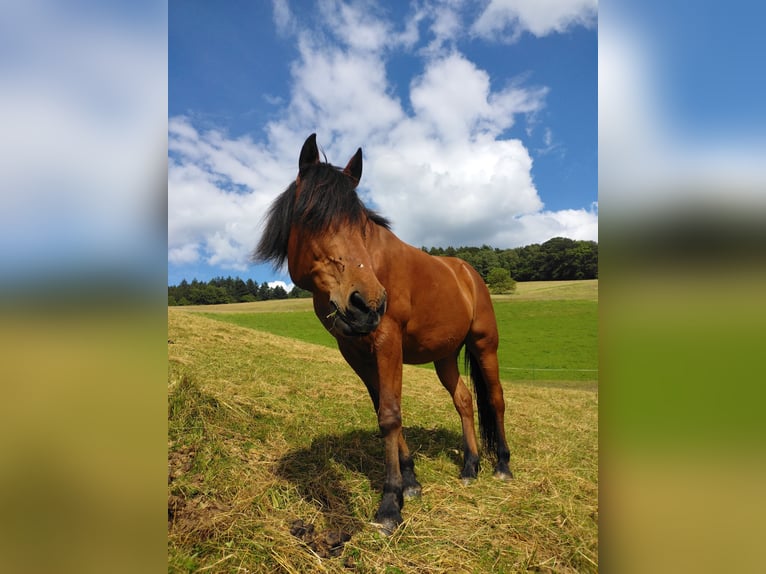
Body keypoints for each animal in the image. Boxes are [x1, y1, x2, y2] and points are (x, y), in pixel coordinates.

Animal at [255, 134, 512, 536]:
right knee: (464, 400)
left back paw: (502, 465)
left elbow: (390, 415)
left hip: (485, 345)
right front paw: (411, 483)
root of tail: (467, 272)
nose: (368, 303)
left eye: (360, 224)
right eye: (310, 217)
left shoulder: (388, 341)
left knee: (496, 400)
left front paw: (391, 504)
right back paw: (471, 465)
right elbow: (384, 409)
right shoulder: (355, 351)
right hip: (444, 356)